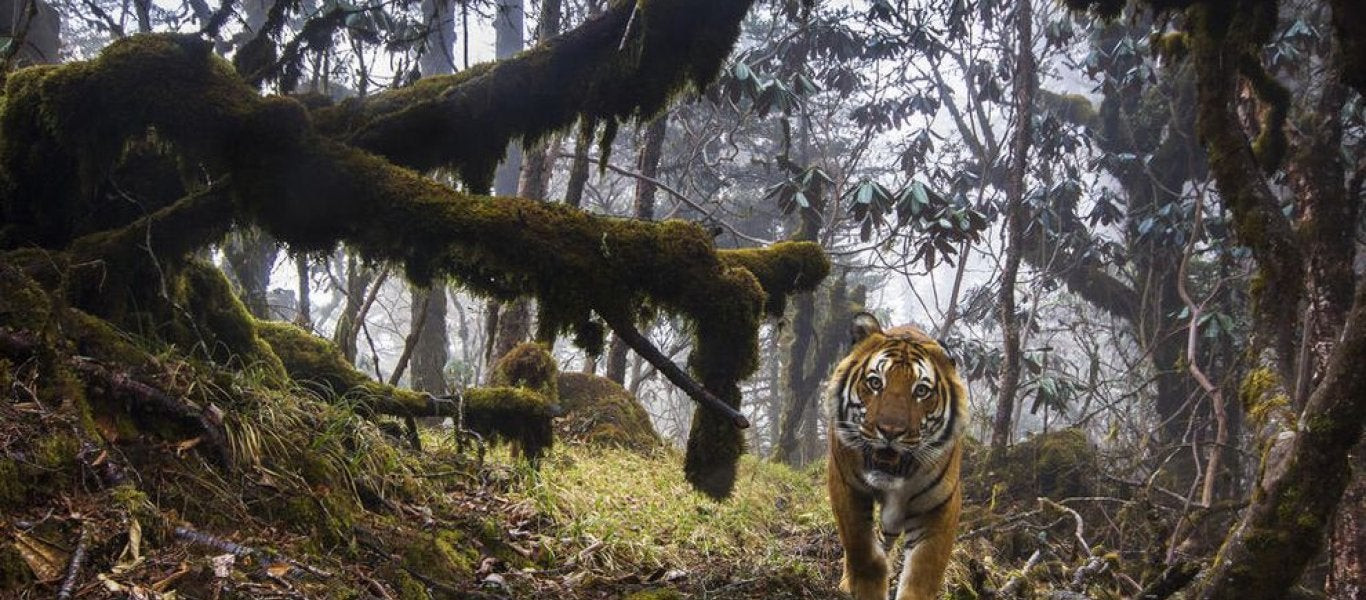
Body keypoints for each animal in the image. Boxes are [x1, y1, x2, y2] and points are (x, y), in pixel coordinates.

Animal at [819, 312, 972, 598]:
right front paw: (866, 584)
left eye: (921, 391)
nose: (890, 431)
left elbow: (923, 573)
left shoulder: (940, 505)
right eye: (875, 383)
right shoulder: (845, 485)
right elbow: (863, 551)